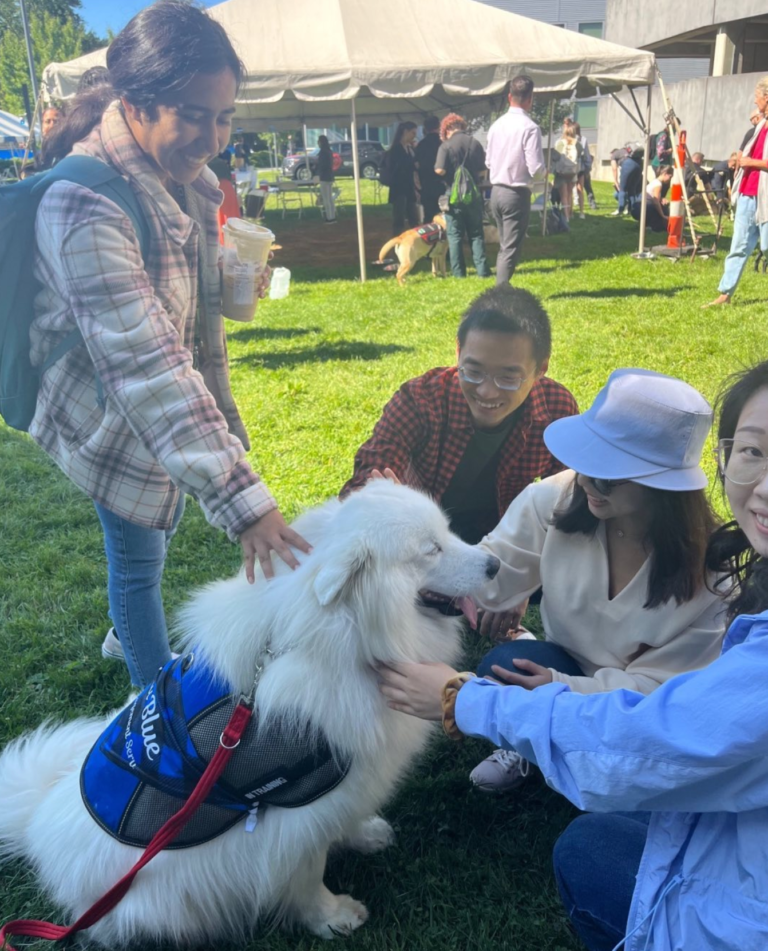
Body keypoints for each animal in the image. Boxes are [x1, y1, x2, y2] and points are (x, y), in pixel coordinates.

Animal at [0, 488, 500, 948]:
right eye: (431, 549)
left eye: (448, 532)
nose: (495, 564)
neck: (336, 638)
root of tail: (36, 828)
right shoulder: (296, 819)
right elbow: (307, 874)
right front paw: (331, 917)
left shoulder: (350, 783)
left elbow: (349, 818)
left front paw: (364, 834)